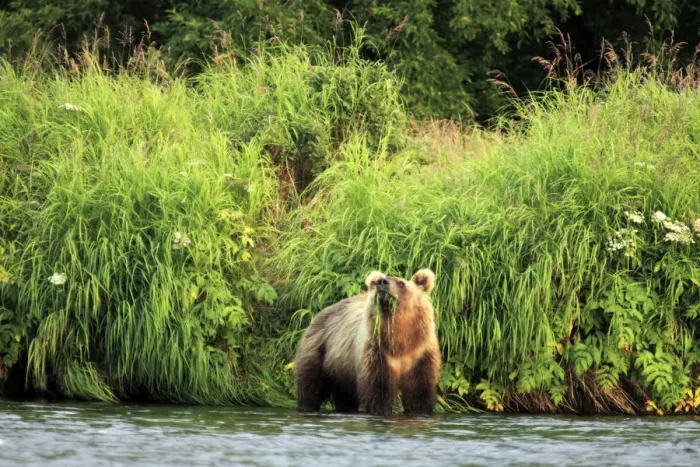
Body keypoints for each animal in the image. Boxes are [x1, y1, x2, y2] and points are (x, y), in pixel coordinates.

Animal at [294, 269, 441, 415]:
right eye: (379, 281)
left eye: (401, 283)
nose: (382, 282)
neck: (401, 342)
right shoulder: (377, 352)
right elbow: (378, 387)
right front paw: (380, 410)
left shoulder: (420, 355)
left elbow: (418, 390)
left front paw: (419, 410)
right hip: (320, 349)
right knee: (311, 384)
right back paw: (307, 406)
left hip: (343, 366)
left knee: (345, 394)